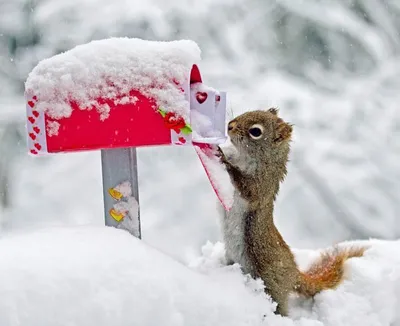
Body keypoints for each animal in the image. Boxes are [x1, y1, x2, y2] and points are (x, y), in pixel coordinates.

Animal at [217, 109, 368, 316]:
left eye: (255, 132)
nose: (229, 126)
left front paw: (224, 158)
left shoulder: (262, 186)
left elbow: (247, 188)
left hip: (271, 282)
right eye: (248, 111)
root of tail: (294, 273)